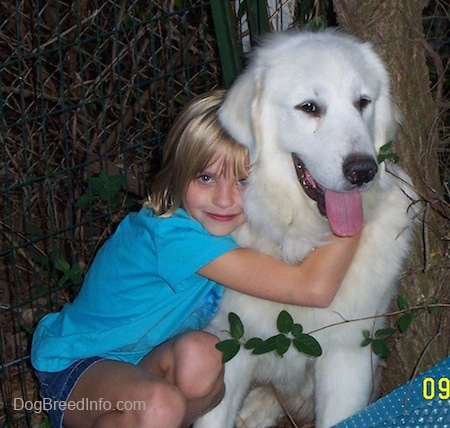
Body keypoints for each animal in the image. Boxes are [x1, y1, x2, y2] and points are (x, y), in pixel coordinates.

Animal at [193, 30, 418, 428]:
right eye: (309, 107)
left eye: (363, 102)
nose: (363, 171)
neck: (301, 242)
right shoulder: (228, 344)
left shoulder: (348, 355)